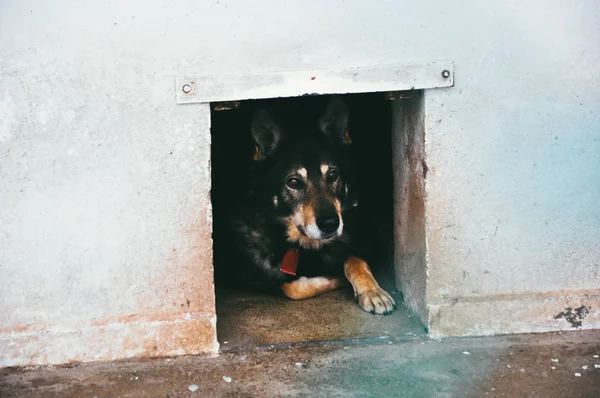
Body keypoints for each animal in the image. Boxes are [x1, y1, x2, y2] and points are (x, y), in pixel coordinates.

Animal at [213, 95, 396, 314]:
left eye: (332, 175)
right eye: (293, 182)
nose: (330, 224)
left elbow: (356, 260)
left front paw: (372, 291)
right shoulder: (247, 274)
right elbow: (293, 287)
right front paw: (337, 277)